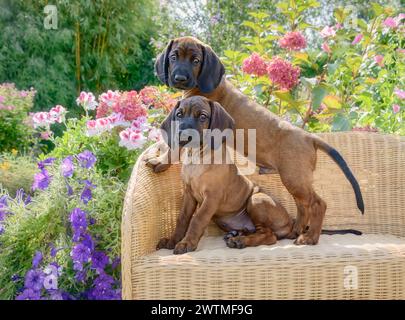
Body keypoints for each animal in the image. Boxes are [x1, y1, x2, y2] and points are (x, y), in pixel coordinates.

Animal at [156, 96, 296, 254]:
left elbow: (198, 219)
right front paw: (173, 240)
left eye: (203, 116)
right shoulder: (189, 194)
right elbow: (183, 218)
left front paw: (187, 243)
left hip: (256, 199)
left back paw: (239, 241)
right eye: (179, 114)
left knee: (269, 235)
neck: (197, 157)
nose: (184, 135)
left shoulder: (212, 197)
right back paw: (236, 235)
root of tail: (290, 223)